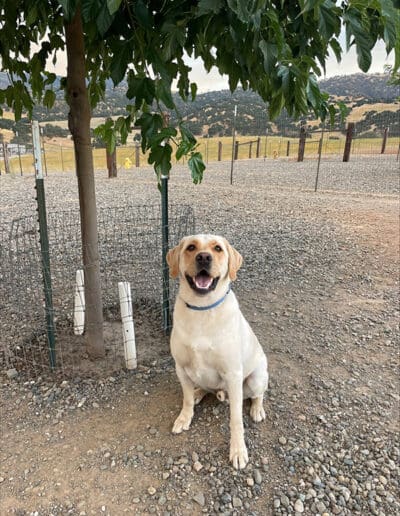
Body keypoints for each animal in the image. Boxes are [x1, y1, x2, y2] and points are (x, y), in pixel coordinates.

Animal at [166, 236, 268, 470]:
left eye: (218, 248)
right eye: (191, 247)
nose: (204, 257)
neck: (201, 309)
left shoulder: (233, 373)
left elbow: (236, 420)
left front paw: (238, 450)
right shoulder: (180, 368)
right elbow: (185, 399)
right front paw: (185, 417)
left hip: (256, 377)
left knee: (258, 395)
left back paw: (257, 409)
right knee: (205, 389)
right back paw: (198, 393)